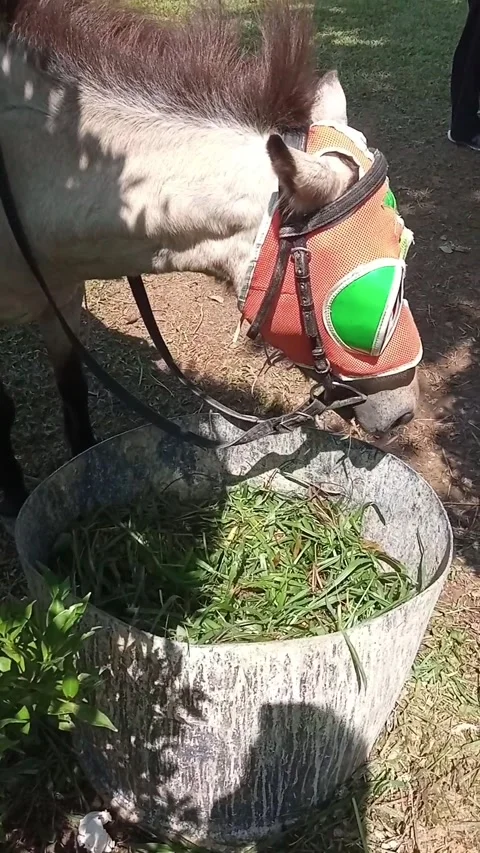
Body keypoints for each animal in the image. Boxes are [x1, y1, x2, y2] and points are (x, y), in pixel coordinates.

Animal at [0, 0, 422, 518]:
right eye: (369, 303)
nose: (405, 411)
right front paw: (14, 500)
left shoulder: (62, 298)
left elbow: (74, 393)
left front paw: (78, 473)